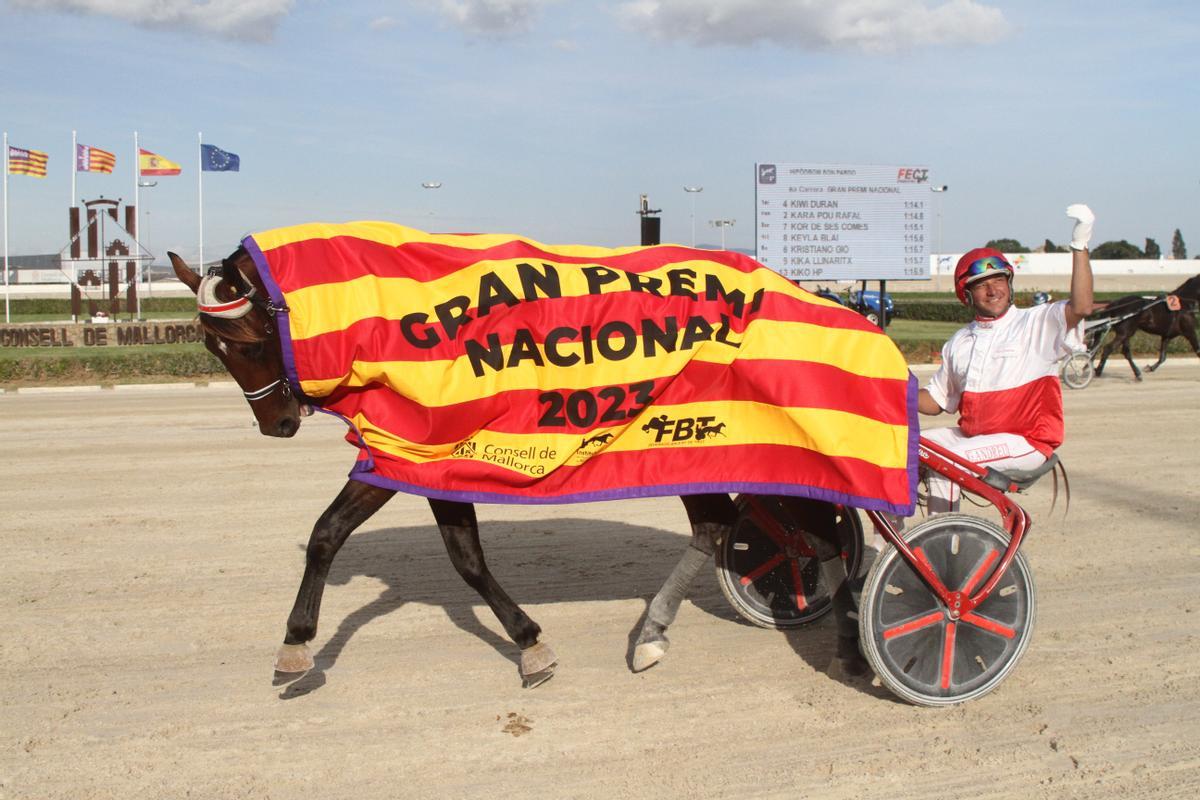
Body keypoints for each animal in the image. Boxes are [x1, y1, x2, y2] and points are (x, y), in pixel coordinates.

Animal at [169, 248, 868, 690]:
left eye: (251, 342)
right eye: (211, 346)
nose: (277, 423)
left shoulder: (413, 446)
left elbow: (340, 537)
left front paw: (296, 641)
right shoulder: (429, 458)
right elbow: (439, 554)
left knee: (812, 529)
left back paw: (848, 643)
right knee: (731, 526)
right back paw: (662, 631)